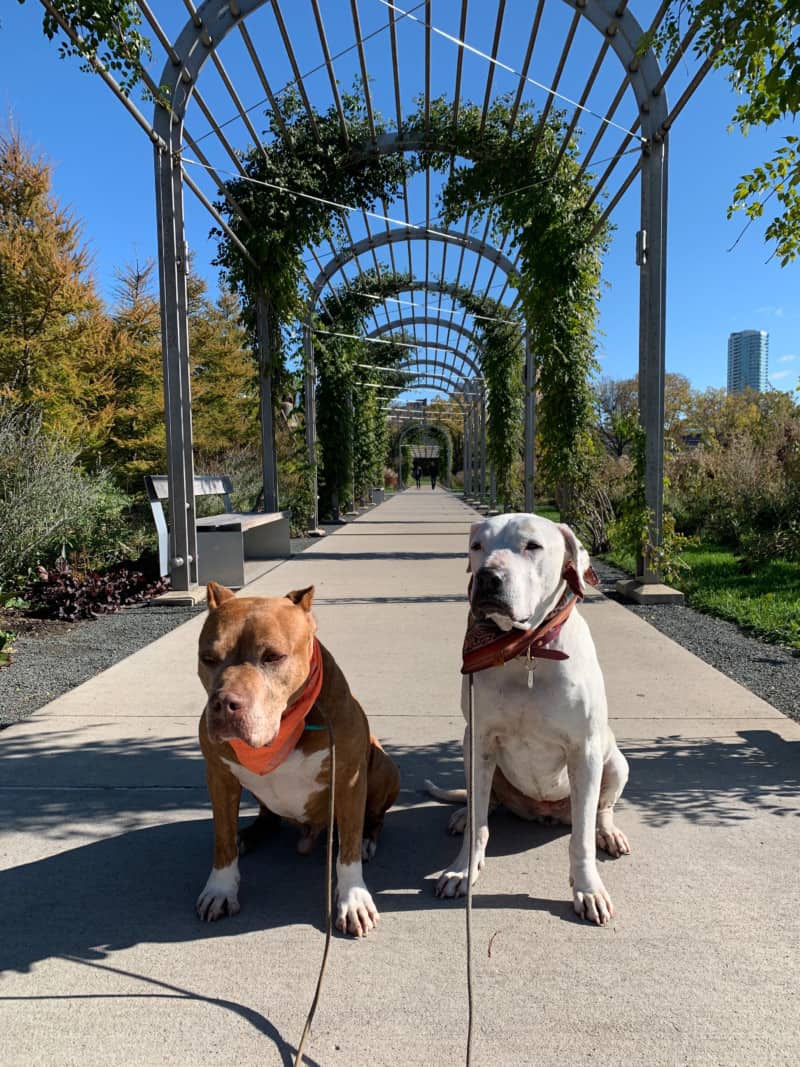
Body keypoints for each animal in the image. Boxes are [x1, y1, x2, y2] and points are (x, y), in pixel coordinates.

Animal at [195, 580, 401, 938]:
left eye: (272, 656)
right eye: (207, 658)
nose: (223, 704)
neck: (284, 729)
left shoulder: (349, 777)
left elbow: (346, 851)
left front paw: (353, 899)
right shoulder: (219, 777)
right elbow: (222, 840)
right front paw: (220, 890)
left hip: (383, 767)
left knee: (373, 818)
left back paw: (366, 839)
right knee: (267, 817)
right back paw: (247, 835)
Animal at [433, 512, 631, 921]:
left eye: (533, 546)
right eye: (477, 546)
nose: (487, 577)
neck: (526, 651)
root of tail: (543, 812)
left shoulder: (584, 750)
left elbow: (581, 839)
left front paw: (588, 889)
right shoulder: (478, 740)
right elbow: (479, 824)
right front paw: (462, 870)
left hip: (616, 763)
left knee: (602, 808)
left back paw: (608, 832)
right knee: (482, 802)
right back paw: (463, 814)